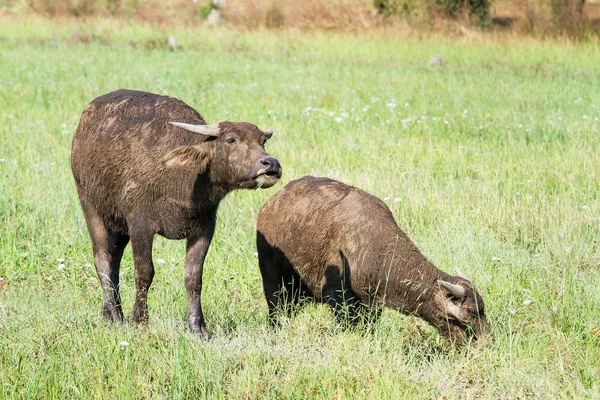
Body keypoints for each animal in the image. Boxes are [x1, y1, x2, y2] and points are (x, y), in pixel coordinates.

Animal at [71, 89, 282, 340]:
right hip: (92, 209)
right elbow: (144, 272)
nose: (271, 164)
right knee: (102, 260)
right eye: (231, 139)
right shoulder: (140, 225)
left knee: (114, 262)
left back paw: (113, 313)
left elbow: (193, 277)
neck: (183, 177)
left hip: (119, 227)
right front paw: (140, 321)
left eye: (262, 141)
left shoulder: (204, 229)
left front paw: (198, 327)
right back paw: (112, 315)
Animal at [256, 177, 488, 346]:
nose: (485, 342)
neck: (376, 245)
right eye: (469, 313)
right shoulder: (338, 297)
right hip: (273, 284)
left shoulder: (372, 302)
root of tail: (269, 206)